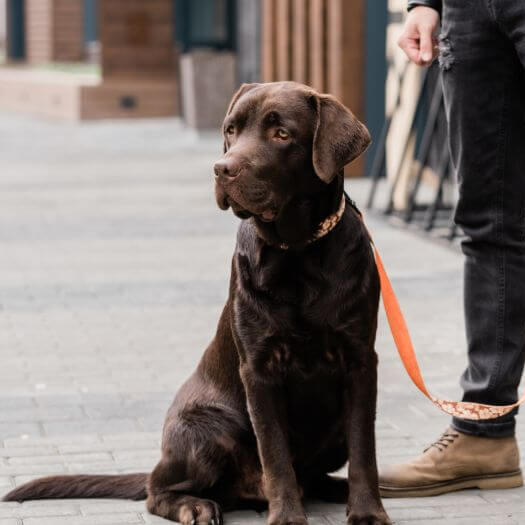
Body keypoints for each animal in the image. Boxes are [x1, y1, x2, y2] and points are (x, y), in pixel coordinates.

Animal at [3, 82, 388, 524]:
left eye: (282, 134)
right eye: (231, 130)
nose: (222, 169)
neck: (298, 254)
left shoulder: (360, 360)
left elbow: (364, 449)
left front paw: (367, 511)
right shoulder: (258, 369)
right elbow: (275, 456)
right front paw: (287, 516)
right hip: (207, 427)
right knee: (158, 490)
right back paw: (197, 506)